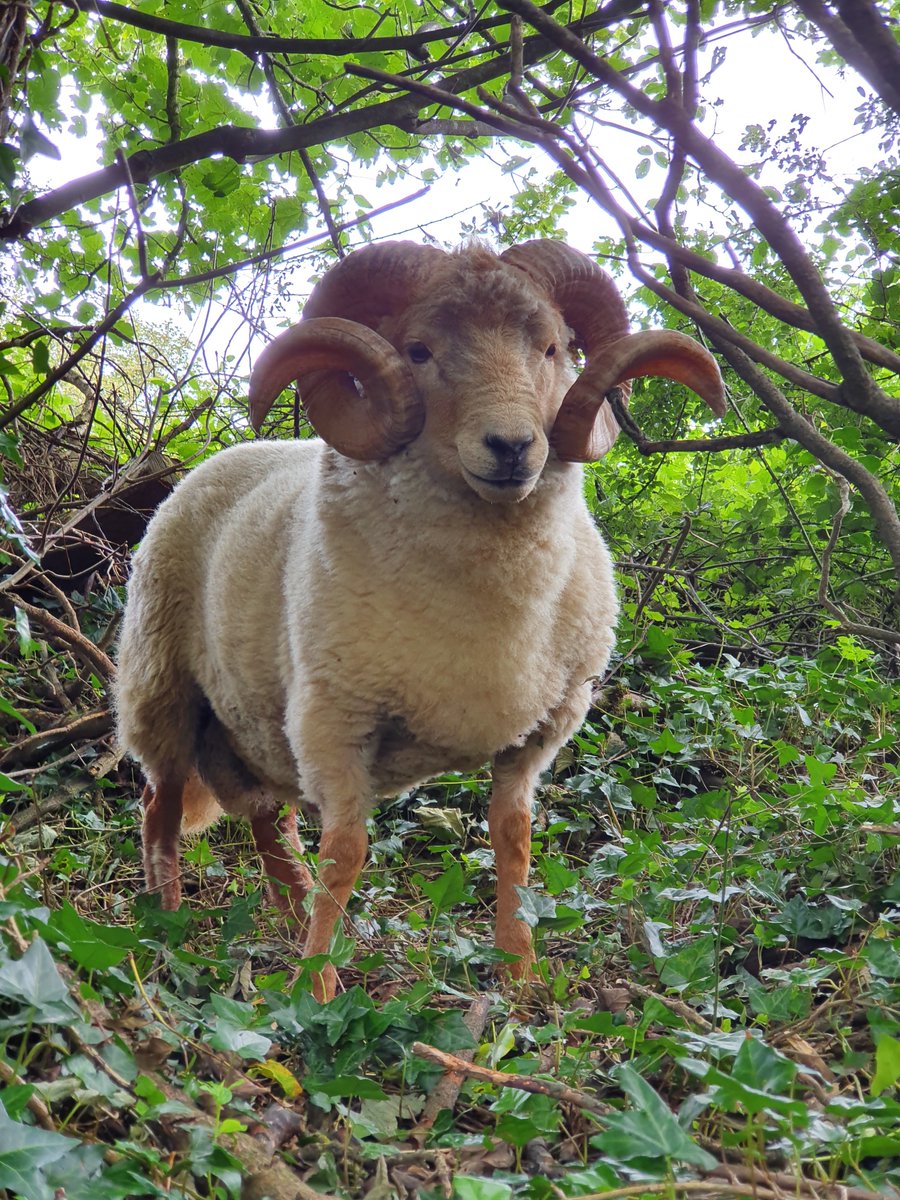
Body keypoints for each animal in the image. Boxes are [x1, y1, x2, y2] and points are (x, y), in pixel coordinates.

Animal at [118, 238, 724, 998]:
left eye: (552, 347)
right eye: (418, 351)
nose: (512, 446)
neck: (489, 606)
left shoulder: (539, 730)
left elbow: (513, 837)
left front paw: (519, 974)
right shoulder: (335, 723)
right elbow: (346, 852)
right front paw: (316, 990)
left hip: (255, 728)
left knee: (268, 826)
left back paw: (292, 921)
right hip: (162, 689)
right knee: (160, 813)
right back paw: (168, 928)